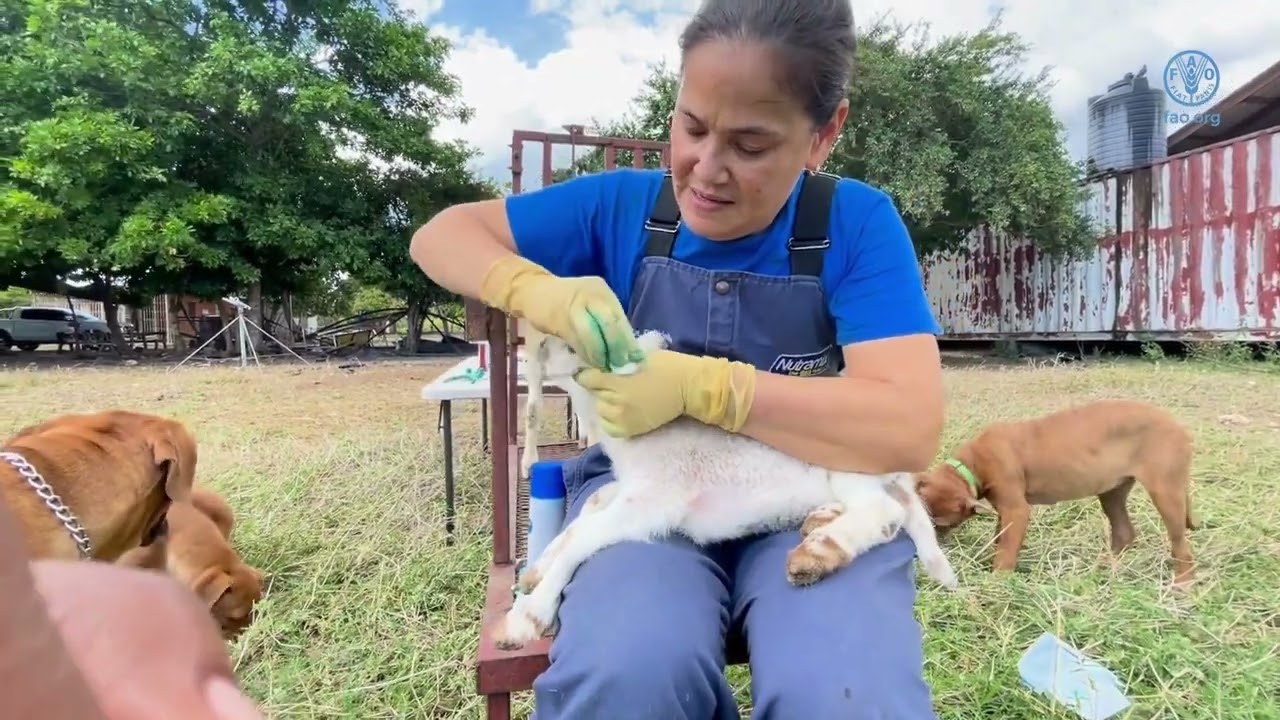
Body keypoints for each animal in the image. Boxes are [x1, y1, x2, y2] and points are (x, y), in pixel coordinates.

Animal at [495, 328, 957, 650]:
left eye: (580, 347)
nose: (535, 352)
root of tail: (902, 469)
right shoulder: (629, 489)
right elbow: (586, 510)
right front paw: (534, 572)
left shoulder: (655, 498)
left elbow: (585, 537)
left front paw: (526, 617)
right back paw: (820, 521)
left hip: (850, 466)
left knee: (886, 513)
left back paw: (817, 553)